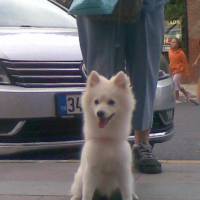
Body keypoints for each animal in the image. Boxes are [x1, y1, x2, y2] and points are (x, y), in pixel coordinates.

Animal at [70, 70, 138, 200]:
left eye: (111, 102)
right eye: (96, 102)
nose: (100, 113)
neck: (107, 139)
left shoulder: (123, 170)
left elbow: (126, 192)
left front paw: (130, 196)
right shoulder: (91, 171)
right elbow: (87, 193)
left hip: (129, 179)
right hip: (80, 177)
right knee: (78, 191)